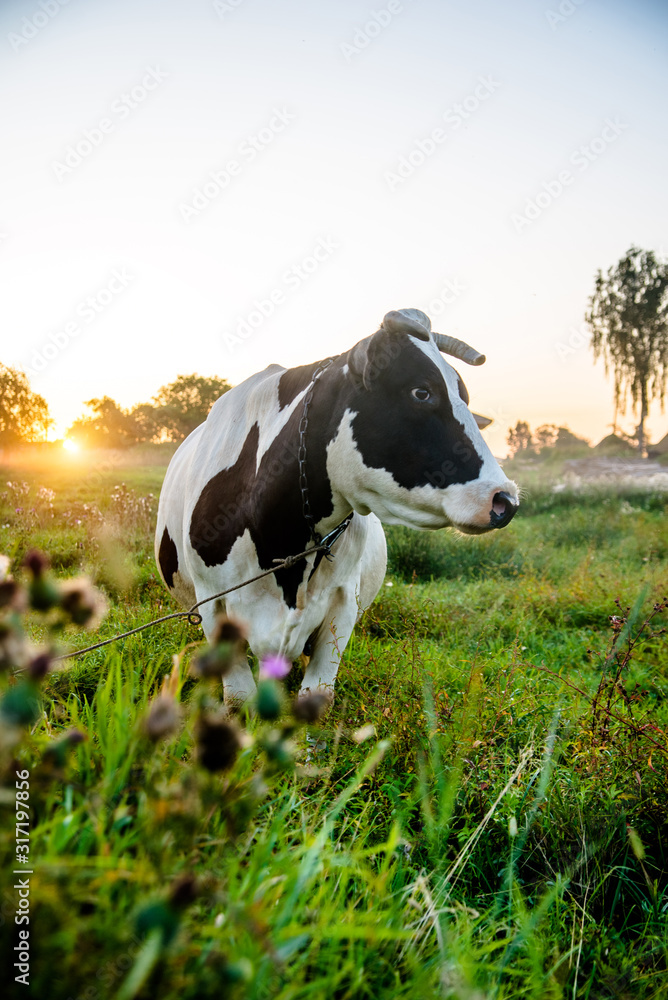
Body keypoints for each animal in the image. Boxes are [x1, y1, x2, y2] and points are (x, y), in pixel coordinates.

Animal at [154, 304, 520, 704]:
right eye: (421, 392)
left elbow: (318, 694)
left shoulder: (342, 607)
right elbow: (240, 699)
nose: (505, 500)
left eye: (464, 398)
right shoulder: (212, 604)